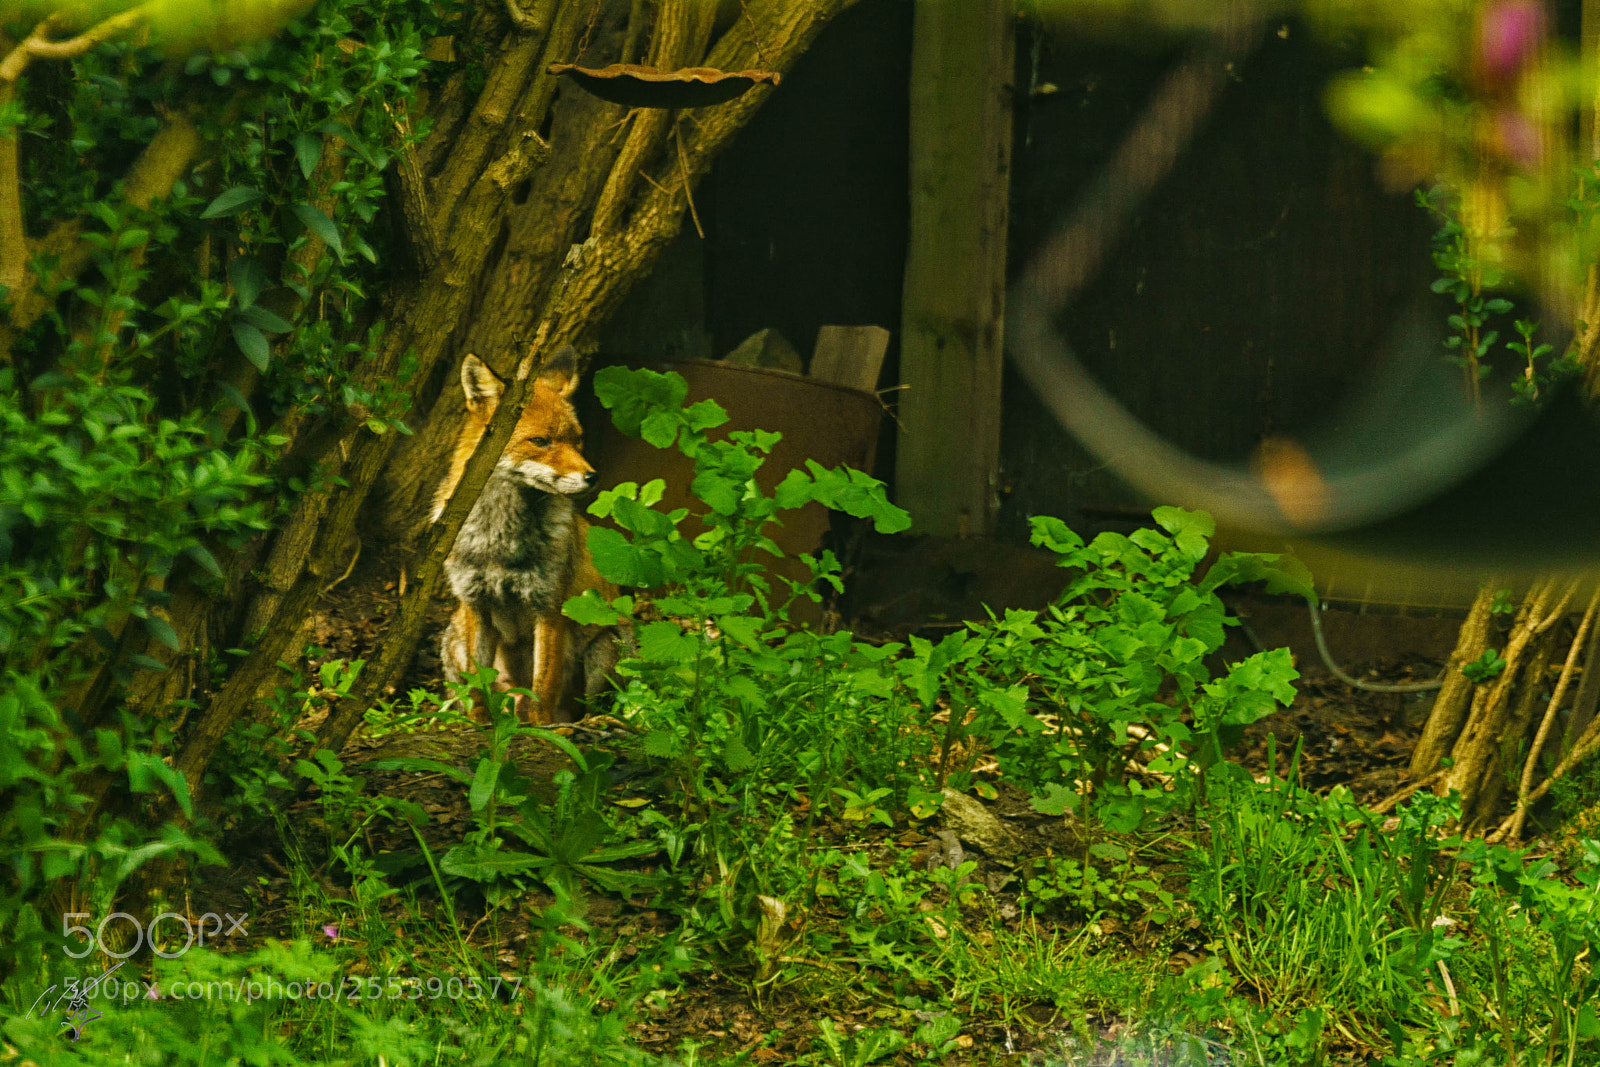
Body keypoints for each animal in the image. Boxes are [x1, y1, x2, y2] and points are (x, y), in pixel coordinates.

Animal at [432, 346, 625, 724]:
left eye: (577, 440)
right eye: (540, 441)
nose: (592, 477)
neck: (500, 540)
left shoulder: (549, 605)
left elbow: (543, 685)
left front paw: (540, 729)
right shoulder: (475, 603)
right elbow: (478, 685)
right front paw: (482, 726)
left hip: (606, 647)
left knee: (585, 706)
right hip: (452, 642)